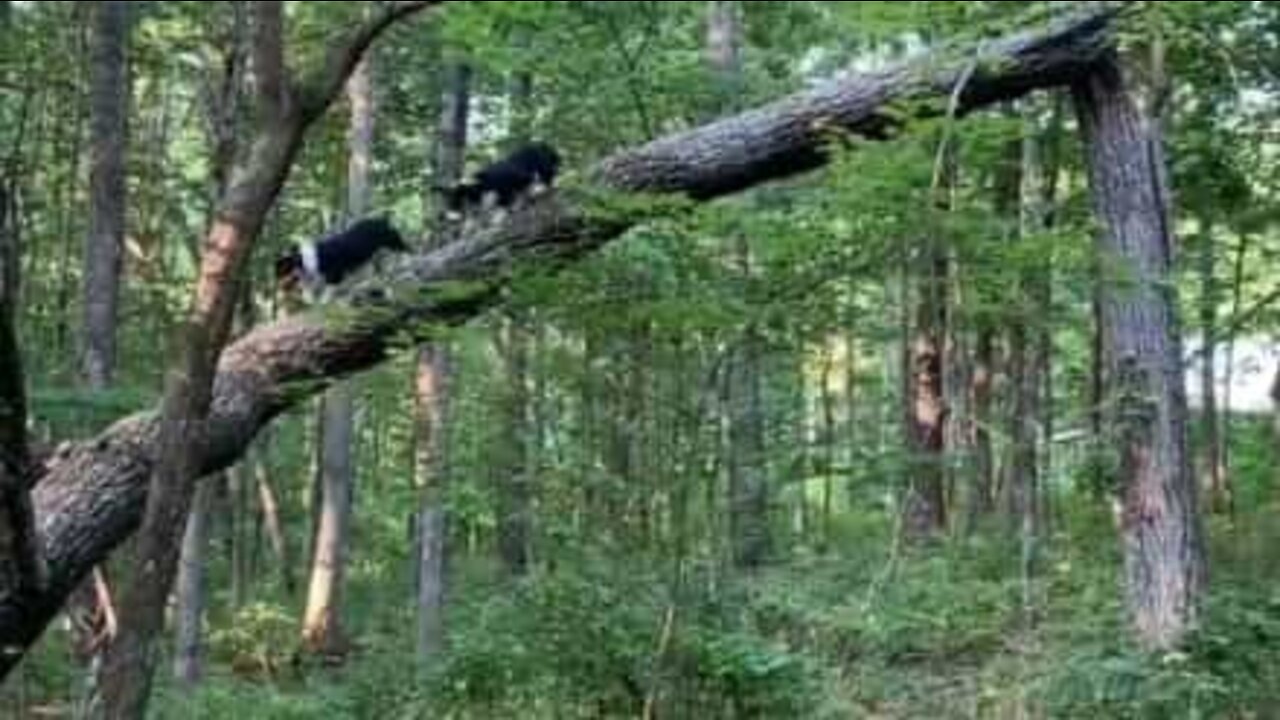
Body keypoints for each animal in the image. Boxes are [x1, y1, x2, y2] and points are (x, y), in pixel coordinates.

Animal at [272, 215, 407, 299]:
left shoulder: (335, 274)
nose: (278, 289)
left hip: (393, 243)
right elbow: (309, 294)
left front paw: (324, 302)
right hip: (374, 259)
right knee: (378, 274)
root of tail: (382, 220)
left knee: (405, 250)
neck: (304, 261)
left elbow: (327, 292)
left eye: (281, 272)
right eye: (278, 274)